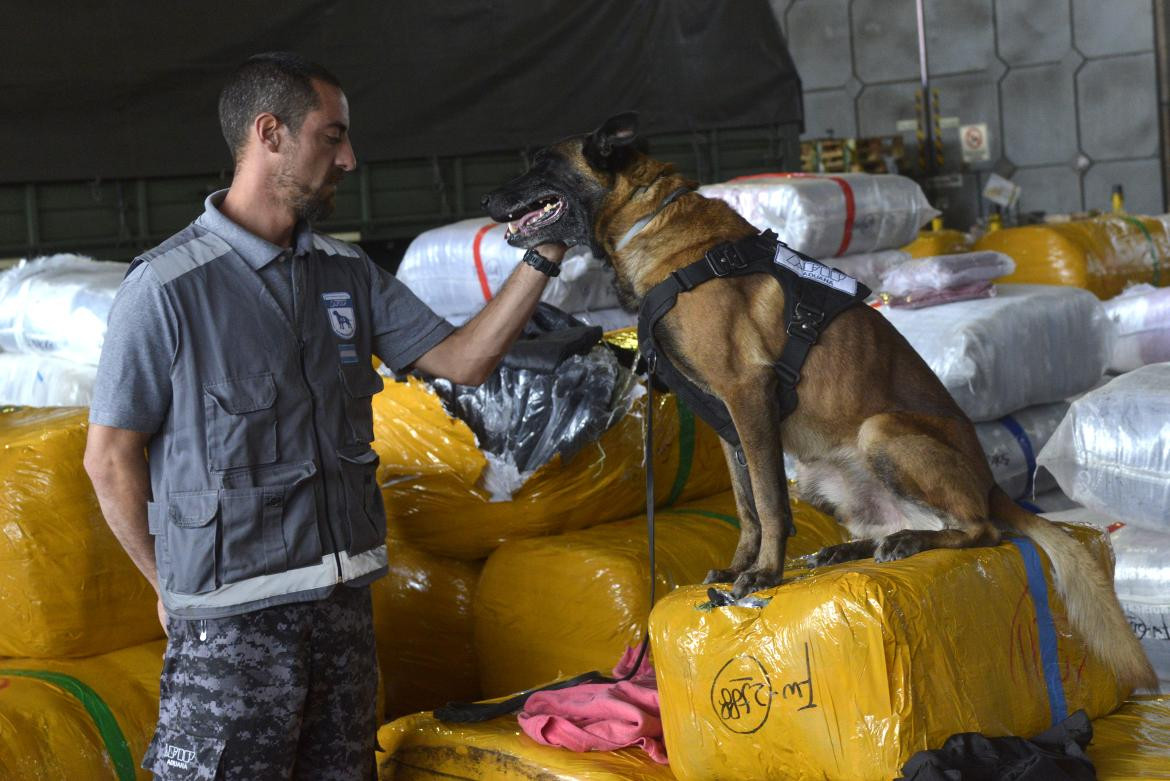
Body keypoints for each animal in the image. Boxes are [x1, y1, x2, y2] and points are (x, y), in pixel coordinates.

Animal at [479, 111, 1155, 687]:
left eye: (542, 164)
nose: (484, 204)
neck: (651, 226)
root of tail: (993, 485)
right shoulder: (726, 423)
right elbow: (748, 505)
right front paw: (740, 566)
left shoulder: (747, 395)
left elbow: (769, 504)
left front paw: (765, 574)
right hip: (821, 473)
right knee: (905, 521)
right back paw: (855, 546)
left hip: (882, 432)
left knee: (979, 528)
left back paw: (912, 542)